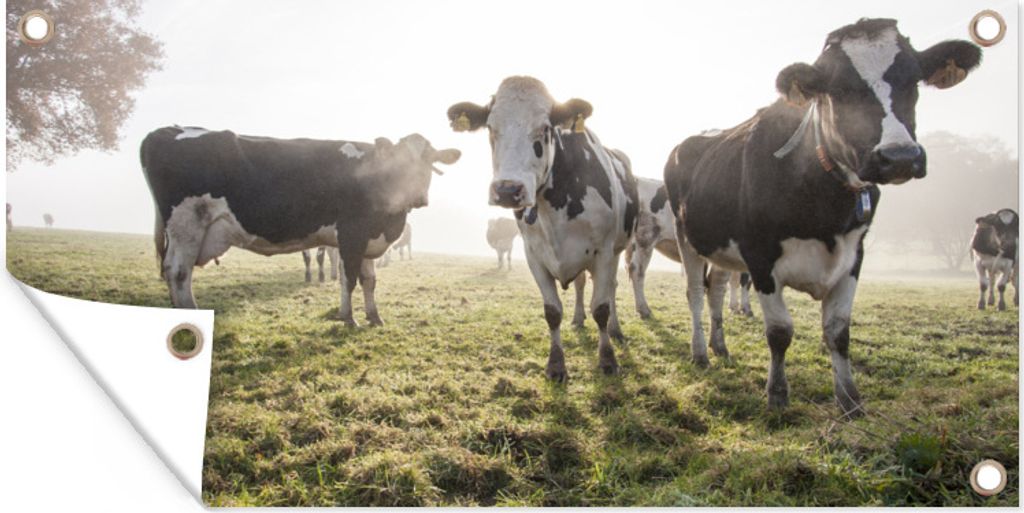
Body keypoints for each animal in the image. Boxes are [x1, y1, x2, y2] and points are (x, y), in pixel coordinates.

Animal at [140, 126, 460, 327]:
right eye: (399, 161)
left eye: (429, 162)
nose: (417, 196)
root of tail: (166, 131)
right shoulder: (351, 234)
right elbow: (350, 279)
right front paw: (349, 319)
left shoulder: (367, 238)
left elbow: (368, 280)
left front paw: (374, 317)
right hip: (187, 224)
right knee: (179, 273)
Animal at [448, 76, 639, 381]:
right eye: (490, 127)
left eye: (545, 128)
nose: (507, 190)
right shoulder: (534, 255)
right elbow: (552, 312)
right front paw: (556, 364)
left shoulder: (605, 252)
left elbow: (601, 308)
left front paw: (608, 360)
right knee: (581, 284)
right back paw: (577, 319)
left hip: (619, 249)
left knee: (610, 289)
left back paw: (616, 330)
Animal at [625, 177, 752, 319]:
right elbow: (745, 282)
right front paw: (746, 308)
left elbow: (734, 280)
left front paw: (734, 307)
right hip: (645, 238)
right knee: (637, 270)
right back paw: (644, 309)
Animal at [663, 18, 981, 416]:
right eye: (840, 89)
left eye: (913, 80)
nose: (900, 157)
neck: (824, 202)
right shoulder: (760, 255)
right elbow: (780, 331)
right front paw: (777, 394)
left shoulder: (854, 255)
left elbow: (838, 331)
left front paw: (849, 400)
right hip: (687, 237)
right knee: (694, 292)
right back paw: (700, 353)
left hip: (722, 247)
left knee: (716, 290)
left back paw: (719, 346)